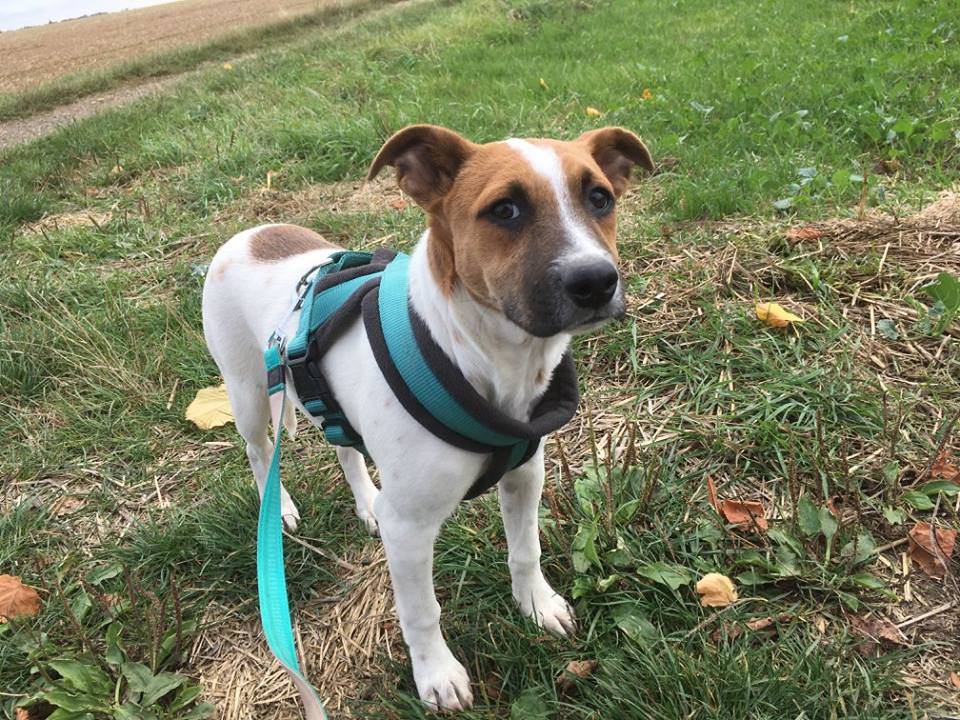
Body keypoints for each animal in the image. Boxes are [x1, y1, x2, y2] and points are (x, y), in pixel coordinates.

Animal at [201, 124, 652, 710]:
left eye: (599, 198)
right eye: (504, 210)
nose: (596, 281)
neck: (485, 357)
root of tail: (249, 234)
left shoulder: (525, 474)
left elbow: (525, 551)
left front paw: (536, 605)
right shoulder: (410, 529)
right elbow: (421, 611)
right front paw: (436, 674)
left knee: (344, 447)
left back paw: (367, 503)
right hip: (248, 394)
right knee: (259, 454)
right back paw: (279, 509)